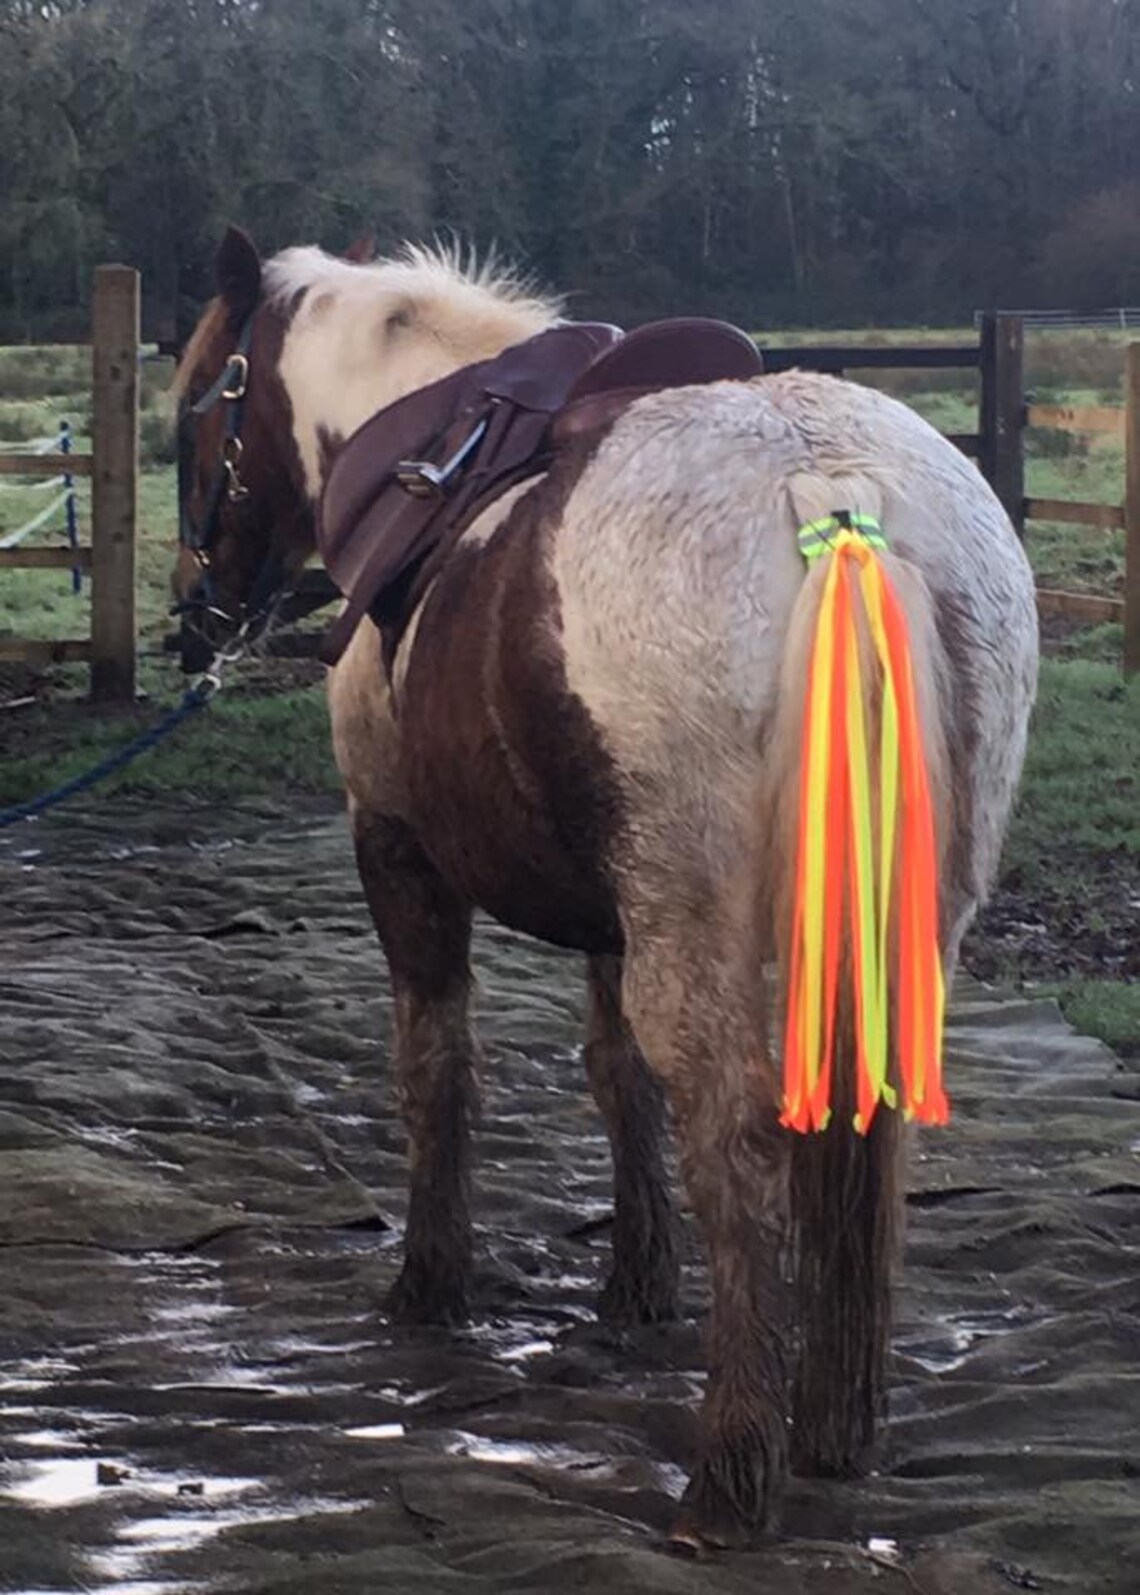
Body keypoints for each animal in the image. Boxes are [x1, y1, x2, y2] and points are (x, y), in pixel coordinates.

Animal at [173, 226, 1038, 1548]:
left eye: (192, 416)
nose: (193, 616)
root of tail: (834, 497)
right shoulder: (611, 911)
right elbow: (614, 1077)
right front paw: (634, 1284)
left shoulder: (398, 852)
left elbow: (439, 1068)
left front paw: (431, 1283)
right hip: (896, 927)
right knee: (861, 1122)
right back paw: (837, 1429)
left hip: (698, 927)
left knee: (737, 1137)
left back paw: (731, 1468)